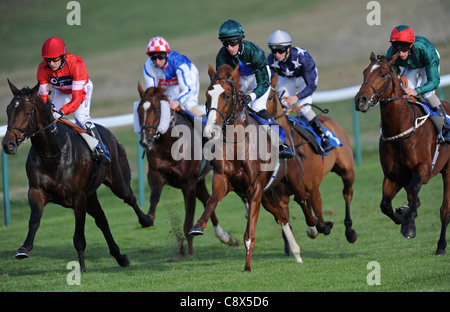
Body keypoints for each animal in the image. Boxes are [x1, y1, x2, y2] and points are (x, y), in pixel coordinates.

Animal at [1, 81, 153, 272]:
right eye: (8, 110)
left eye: (28, 112)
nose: (8, 144)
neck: (53, 153)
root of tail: (108, 133)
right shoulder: (36, 191)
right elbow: (34, 220)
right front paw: (23, 248)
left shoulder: (78, 197)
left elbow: (79, 237)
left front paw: (81, 268)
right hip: (91, 195)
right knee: (102, 220)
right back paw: (120, 257)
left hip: (117, 182)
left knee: (129, 198)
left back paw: (146, 220)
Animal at [136, 81, 237, 255]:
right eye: (139, 110)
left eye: (157, 110)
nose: (145, 141)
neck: (170, 144)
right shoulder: (156, 176)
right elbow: (154, 200)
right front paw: (147, 218)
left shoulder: (188, 183)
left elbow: (188, 221)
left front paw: (188, 253)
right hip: (200, 180)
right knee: (207, 199)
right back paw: (224, 236)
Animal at [188, 64, 304, 272]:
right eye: (207, 95)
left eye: (227, 95)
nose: (210, 131)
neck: (238, 144)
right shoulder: (223, 180)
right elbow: (211, 201)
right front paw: (198, 227)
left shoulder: (255, 188)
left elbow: (249, 233)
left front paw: (247, 266)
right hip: (266, 196)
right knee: (282, 216)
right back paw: (297, 253)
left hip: (290, 182)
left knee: (303, 199)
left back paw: (316, 227)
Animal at [268, 73, 358, 246]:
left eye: (269, 97)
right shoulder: (281, 198)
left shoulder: (313, 189)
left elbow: (319, 219)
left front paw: (324, 226)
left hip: (347, 170)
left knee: (347, 193)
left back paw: (350, 231)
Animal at [356, 52, 448, 255]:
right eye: (364, 72)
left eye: (383, 74)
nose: (361, 100)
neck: (402, 128)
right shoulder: (393, 176)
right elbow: (385, 205)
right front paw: (402, 218)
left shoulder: (422, 170)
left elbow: (415, 191)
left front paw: (410, 226)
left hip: (448, 170)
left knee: (445, 209)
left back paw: (441, 246)